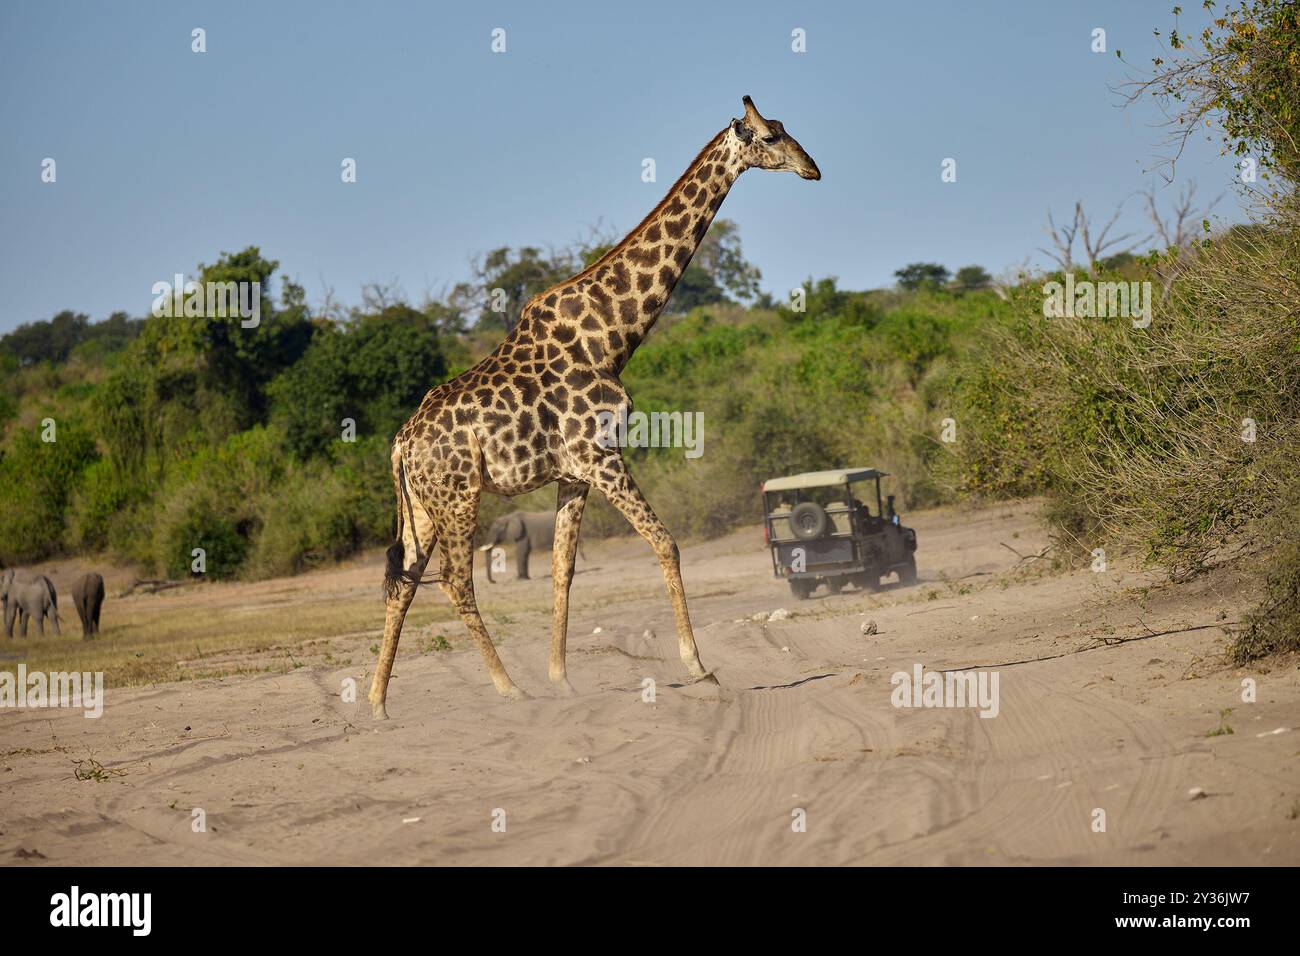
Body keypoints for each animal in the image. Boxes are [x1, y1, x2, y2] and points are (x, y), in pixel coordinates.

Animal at [366, 95, 816, 717]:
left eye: (785, 128)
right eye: (770, 136)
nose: (812, 168)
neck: (611, 334)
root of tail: (400, 444)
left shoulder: (574, 472)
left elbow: (563, 569)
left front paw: (562, 678)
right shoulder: (602, 457)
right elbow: (666, 542)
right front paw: (698, 667)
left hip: (425, 507)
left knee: (403, 581)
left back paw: (378, 705)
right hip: (458, 496)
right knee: (456, 582)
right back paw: (508, 687)